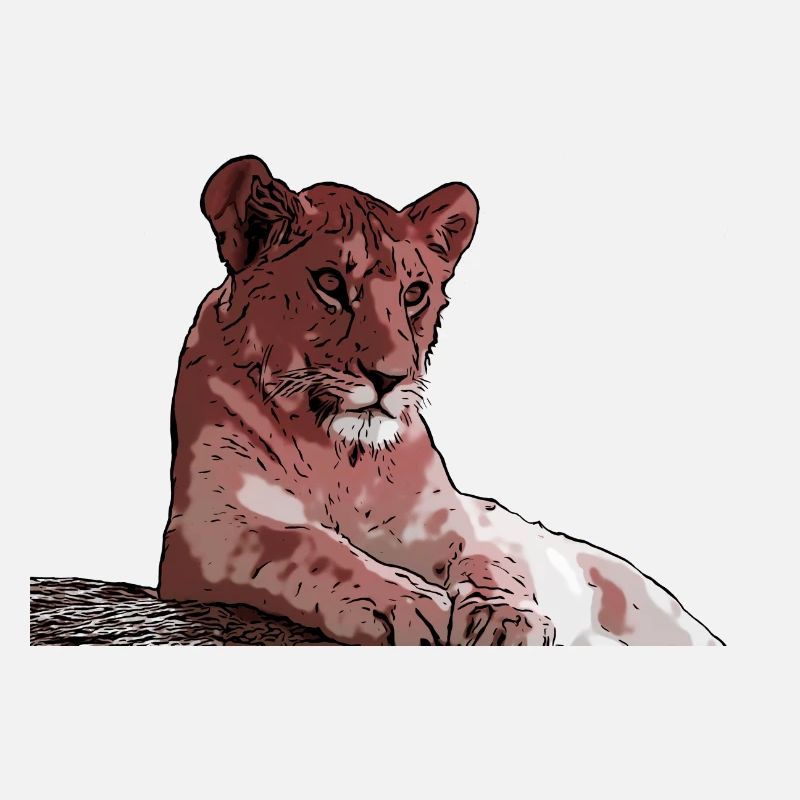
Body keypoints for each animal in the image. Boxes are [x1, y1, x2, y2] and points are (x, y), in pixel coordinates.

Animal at [158, 155, 722, 645]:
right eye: (330, 283)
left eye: (414, 294)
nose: (388, 378)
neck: (340, 458)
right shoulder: (211, 525)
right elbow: (306, 544)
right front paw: (405, 604)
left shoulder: (451, 518)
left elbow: (493, 560)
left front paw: (507, 618)